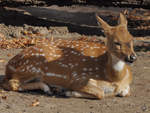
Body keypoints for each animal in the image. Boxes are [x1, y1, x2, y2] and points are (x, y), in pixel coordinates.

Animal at [1, 13, 137, 99]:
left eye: (131, 39)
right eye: (117, 42)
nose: (132, 57)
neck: (115, 78)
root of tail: (8, 65)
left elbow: (126, 92)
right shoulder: (79, 78)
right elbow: (101, 93)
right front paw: (69, 92)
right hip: (31, 67)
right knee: (9, 83)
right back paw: (49, 88)